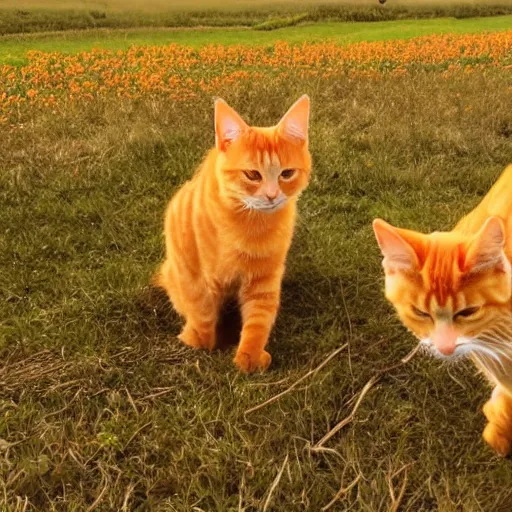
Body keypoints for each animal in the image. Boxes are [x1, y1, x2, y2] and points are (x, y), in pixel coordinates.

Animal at [154, 94, 310, 372]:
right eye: (253, 174)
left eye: (287, 174)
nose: (272, 195)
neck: (251, 226)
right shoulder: (199, 276)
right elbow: (202, 312)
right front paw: (200, 343)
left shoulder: (264, 280)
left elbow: (258, 321)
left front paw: (249, 358)